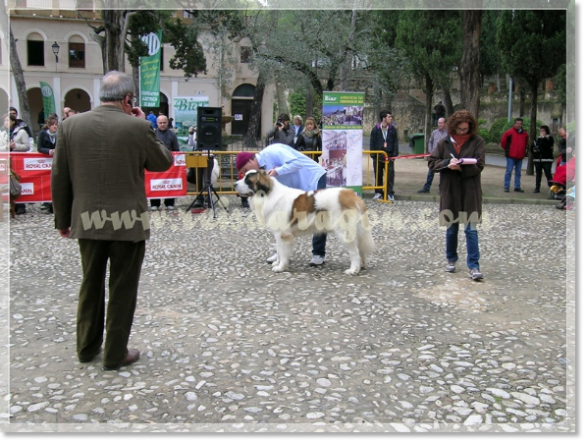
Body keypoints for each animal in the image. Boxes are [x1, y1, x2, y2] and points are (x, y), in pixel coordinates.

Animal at [234, 170, 374, 274]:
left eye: (248, 180)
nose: (235, 184)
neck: (268, 194)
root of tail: (351, 195)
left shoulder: (283, 235)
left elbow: (283, 252)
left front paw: (280, 267)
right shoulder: (278, 234)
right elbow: (279, 250)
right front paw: (277, 263)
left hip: (344, 232)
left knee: (354, 251)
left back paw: (353, 269)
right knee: (360, 248)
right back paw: (362, 265)